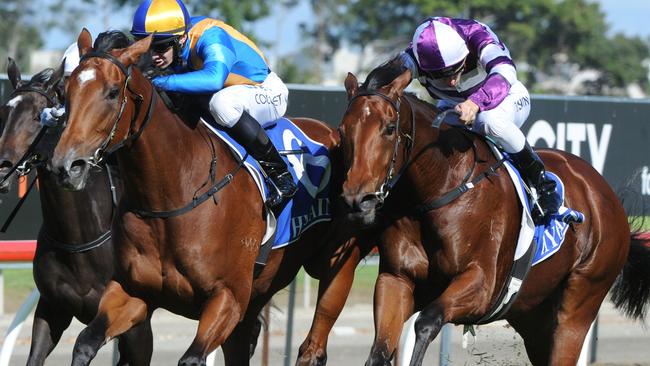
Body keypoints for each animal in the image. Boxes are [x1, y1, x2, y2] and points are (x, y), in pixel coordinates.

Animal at [0, 55, 153, 364]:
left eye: (38, 116)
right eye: (3, 113)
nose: (1, 169)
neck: (77, 237)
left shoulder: (136, 323)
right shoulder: (52, 309)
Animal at [49, 30, 374, 364]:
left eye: (113, 92)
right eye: (66, 91)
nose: (66, 165)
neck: (172, 194)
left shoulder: (228, 297)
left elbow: (192, 357)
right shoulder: (134, 292)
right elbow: (85, 342)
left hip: (335, 262)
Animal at [336, 58, 644, 364]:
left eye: (389, 128)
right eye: (343, 129)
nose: (358, 200)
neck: (437, 189)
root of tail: (605, 194)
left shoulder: (482, 285)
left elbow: (426, 322)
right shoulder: (397, 279)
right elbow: (379, 350)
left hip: (578, 305)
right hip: (534, 316)